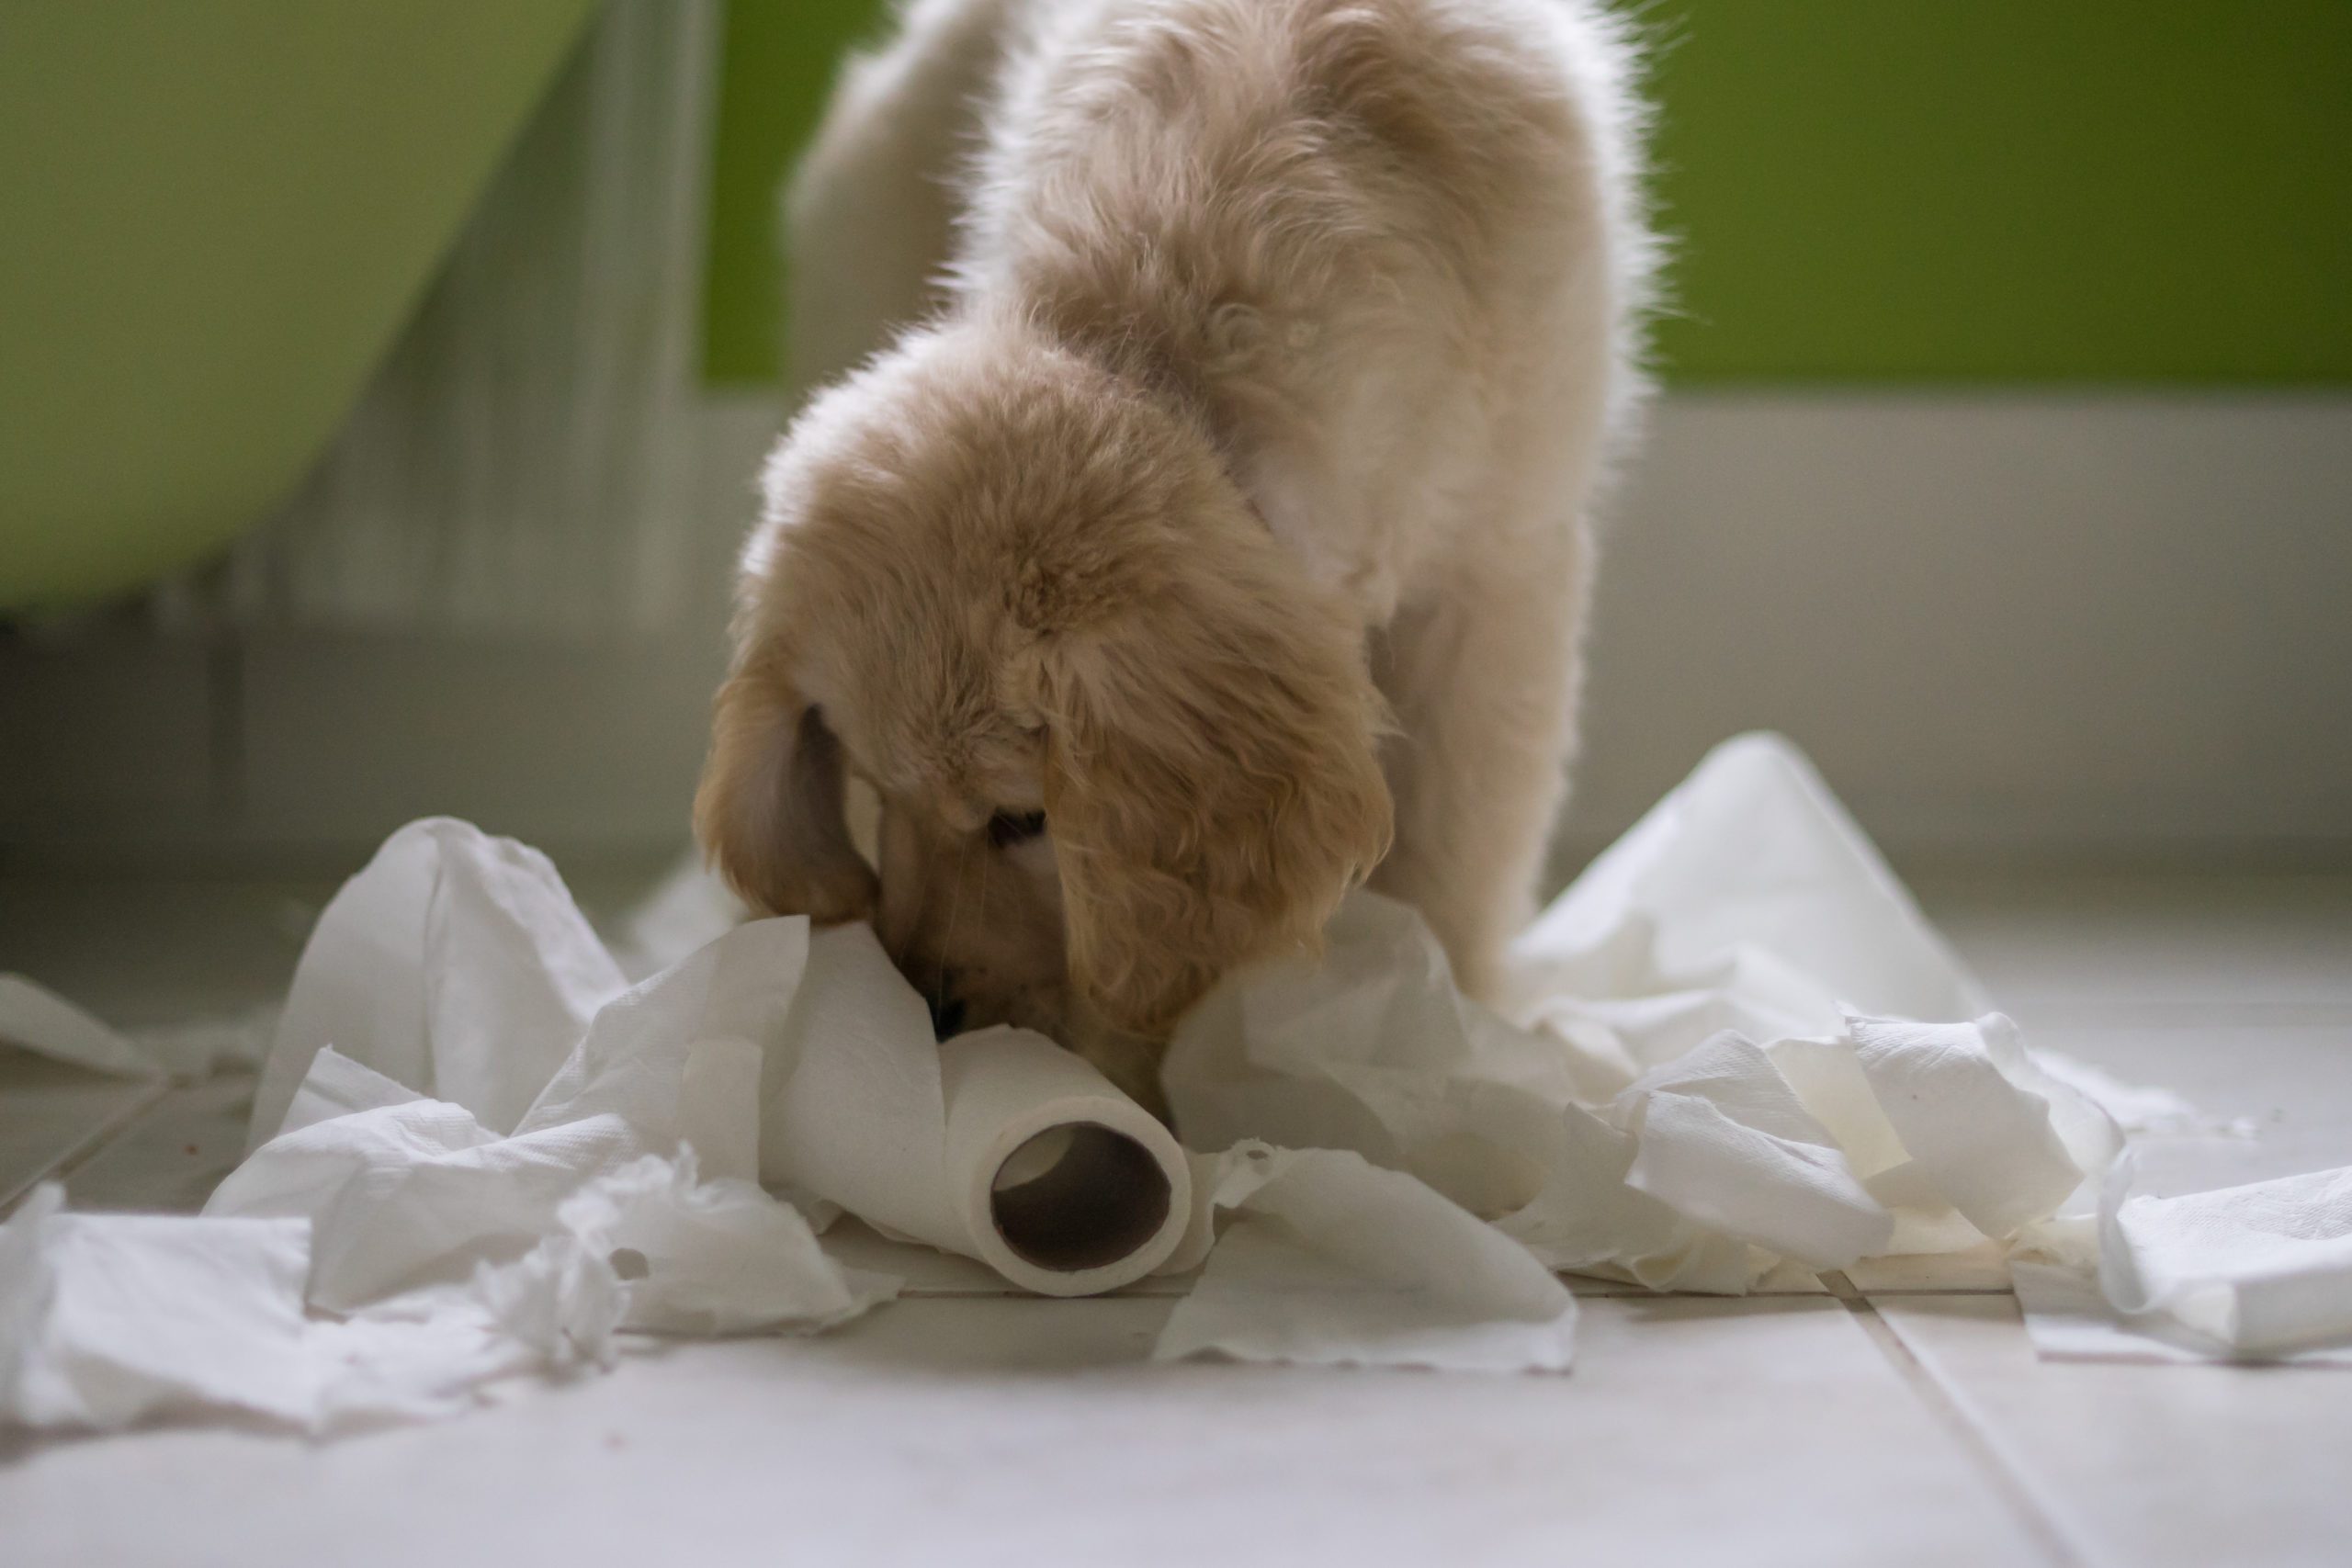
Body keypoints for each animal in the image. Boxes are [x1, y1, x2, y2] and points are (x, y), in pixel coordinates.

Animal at [695, 0, 1656, 1090]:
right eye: (869, 782)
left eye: (1024, 820)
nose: (934, 1021)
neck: (1152, 333)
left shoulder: (1498, 579)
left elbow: (1448, 861)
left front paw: (1438, 1032)